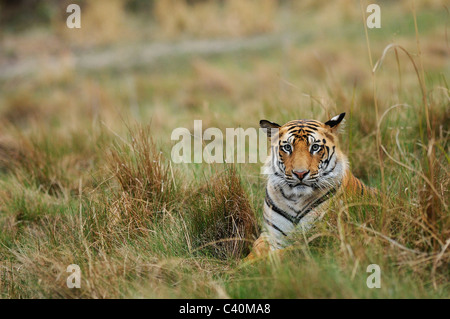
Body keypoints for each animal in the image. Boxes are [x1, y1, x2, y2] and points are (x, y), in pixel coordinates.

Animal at [248, 112, 374, 260]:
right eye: (287, 147)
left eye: (315, 147)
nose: (300, 173)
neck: (295, 198)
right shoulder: (270, 234)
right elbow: (255, 250)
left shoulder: (320, 238)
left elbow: (285, 253)